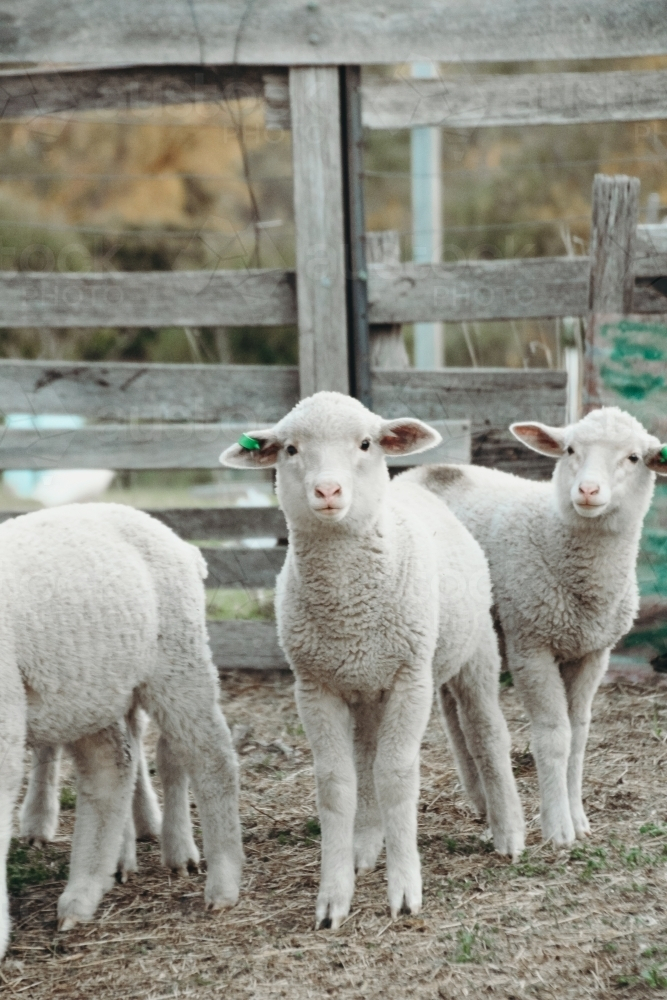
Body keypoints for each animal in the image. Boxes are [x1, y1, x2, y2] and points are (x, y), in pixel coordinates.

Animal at [0, 504, 243, 960]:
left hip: (176, 659)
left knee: (209, 758)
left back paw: (221, 883)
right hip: (90, 688)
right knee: (112, 769)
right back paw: (85, 892)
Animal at [221, 391, 524, 929]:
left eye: (365, 444)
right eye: (291, 449)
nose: (327, 489)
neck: (348, 609)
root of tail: (418, 482)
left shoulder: (410, 678)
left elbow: (396, 776)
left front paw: (404, 891)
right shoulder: (315, 686)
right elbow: (338, 783)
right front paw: (333, 895)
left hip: (475, 654)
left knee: (487, 732)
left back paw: (508, 832)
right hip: (365, 687)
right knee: (366, 755)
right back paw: (364, 844)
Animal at [406, 406, 667, 847]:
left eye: (634, 457)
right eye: (570, 450)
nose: (588, 491)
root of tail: (418, 471)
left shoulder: (593, 652)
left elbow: (579, 734)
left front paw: (578, 819)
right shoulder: (530, 643)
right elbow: (554, 735)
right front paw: (557, 828)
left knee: (452, 710)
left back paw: (481, 800)